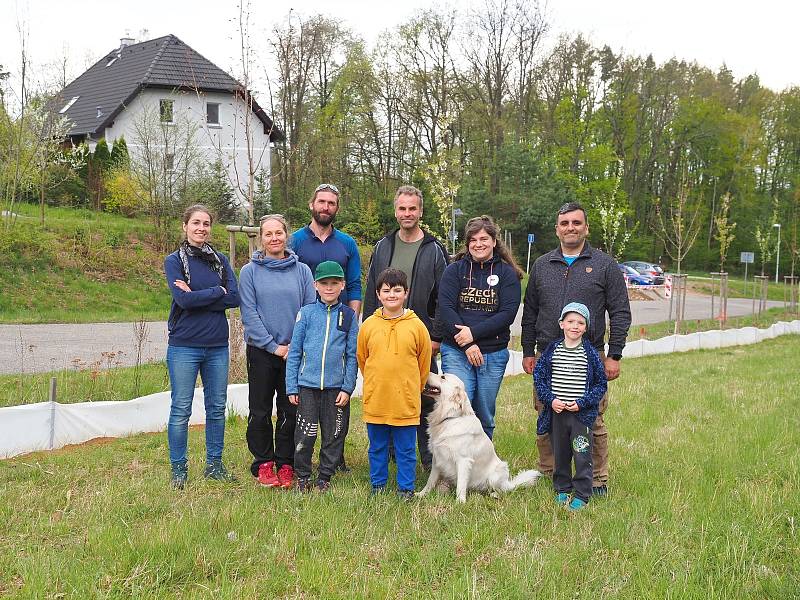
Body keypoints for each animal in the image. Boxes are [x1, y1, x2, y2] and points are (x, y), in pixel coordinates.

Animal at [416, 370, 540, 502]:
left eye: (443, 377)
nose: (427, 371)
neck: (450, 417)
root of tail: (508, 483)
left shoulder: (463, 461)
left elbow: (461, 485)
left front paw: (460, 502)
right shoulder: (437, 458)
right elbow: (430, 480)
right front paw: (421, 494)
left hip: (496, 473)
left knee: (502, 490)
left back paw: (495, 494)